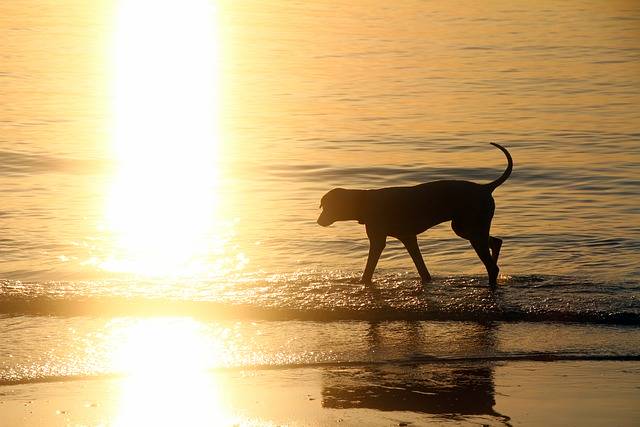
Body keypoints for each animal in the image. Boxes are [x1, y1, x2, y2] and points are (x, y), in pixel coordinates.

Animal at [318, 144, 512, 288]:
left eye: (327, 206)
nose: (318, 221)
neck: (364, 201)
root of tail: (485, 188)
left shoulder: (378, 240)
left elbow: (370, 266)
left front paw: (363, 281)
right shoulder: (408, 238)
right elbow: (421, 267)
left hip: (471, 228)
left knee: (492, 266)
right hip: (465, 228)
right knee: (496, 242)